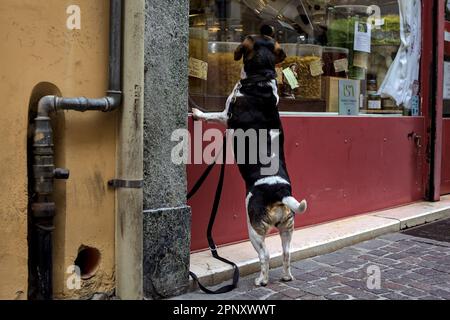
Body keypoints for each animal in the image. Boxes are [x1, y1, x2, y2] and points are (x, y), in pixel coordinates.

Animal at [192, 24, 308, 284]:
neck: (261, 80)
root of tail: (280, 191)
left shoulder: (226, 115)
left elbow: (211, 115)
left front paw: (197, 113)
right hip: (287, 229)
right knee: (286, 254)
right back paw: (286, 277)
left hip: (253, 228)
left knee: (265, 256)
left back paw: (261, 280)